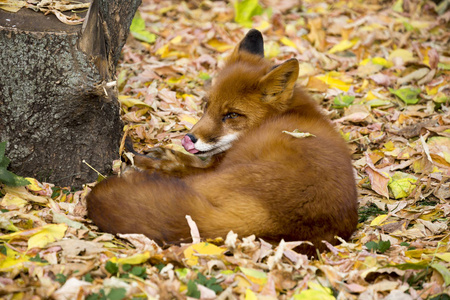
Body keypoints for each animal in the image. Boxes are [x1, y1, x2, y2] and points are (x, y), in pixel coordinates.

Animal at [86, 29, 356, 255]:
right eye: (207, 105)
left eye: (232, 115)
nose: (188, 139)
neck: (286, 115)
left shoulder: (216, 164)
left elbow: (185, 165)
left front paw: (157, 160)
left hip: (216, 178)